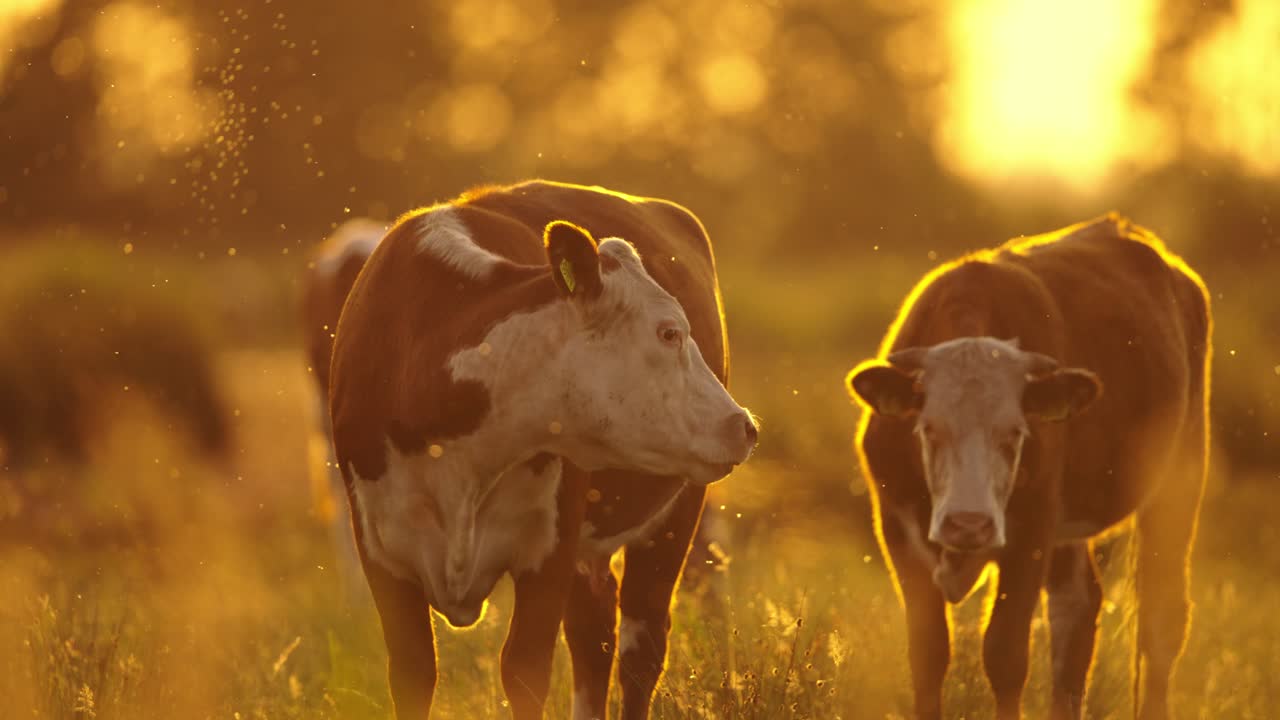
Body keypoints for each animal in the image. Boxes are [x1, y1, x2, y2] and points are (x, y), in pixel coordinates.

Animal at [328, 180, 758, 720]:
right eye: (669, 332)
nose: (743, 425)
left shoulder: (549, 550)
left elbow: (524, 668)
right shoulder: (381, 550)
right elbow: (413, 673)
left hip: (675, 515)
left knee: (640, 646)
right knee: (594, 634)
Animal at [846, 214, 1210, 720]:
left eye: (1015, 432)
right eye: (928, 429)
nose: (968, 524)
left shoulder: (1031, 534)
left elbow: (1004, 655)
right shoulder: (896, 531)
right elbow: (928, 654)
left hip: (1179, 479)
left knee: (1161, 622)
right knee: (1076, 612)